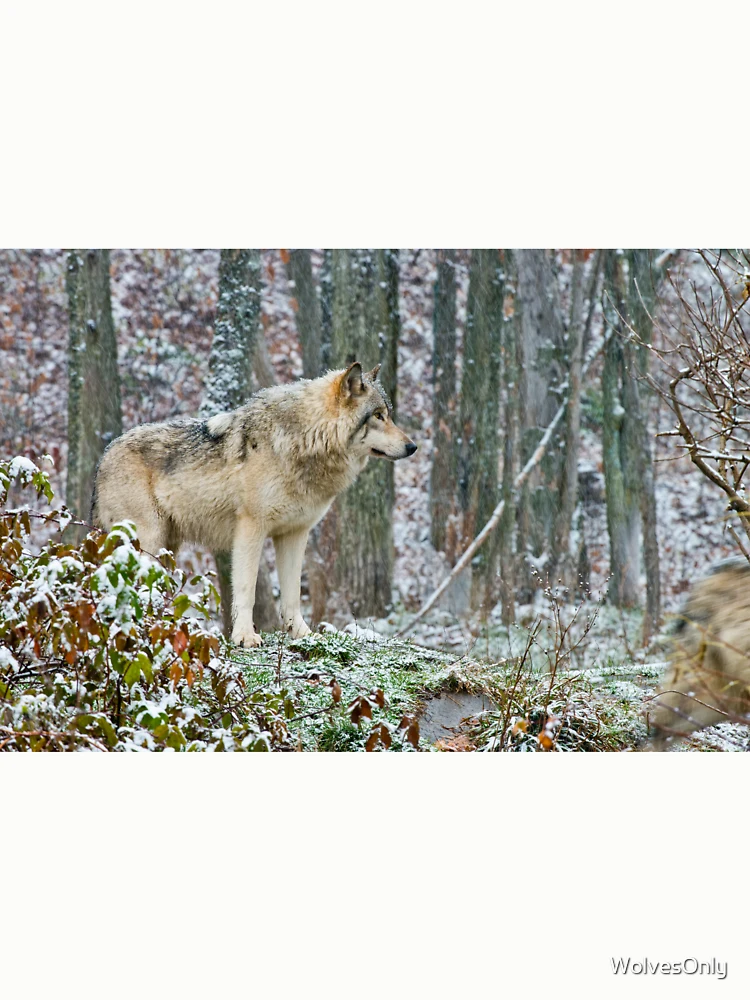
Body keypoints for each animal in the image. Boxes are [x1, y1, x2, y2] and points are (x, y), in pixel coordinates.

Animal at [92, 362, 417, 647]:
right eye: (378, 416)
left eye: (388, 414)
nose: (413, 446)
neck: (303, 441)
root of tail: (103, 456)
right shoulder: (250, 528)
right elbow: (247, 589)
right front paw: (245, 637)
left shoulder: (294, 535)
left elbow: (292, 594)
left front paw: (303, 635)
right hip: (149, 541)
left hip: (167, 548)